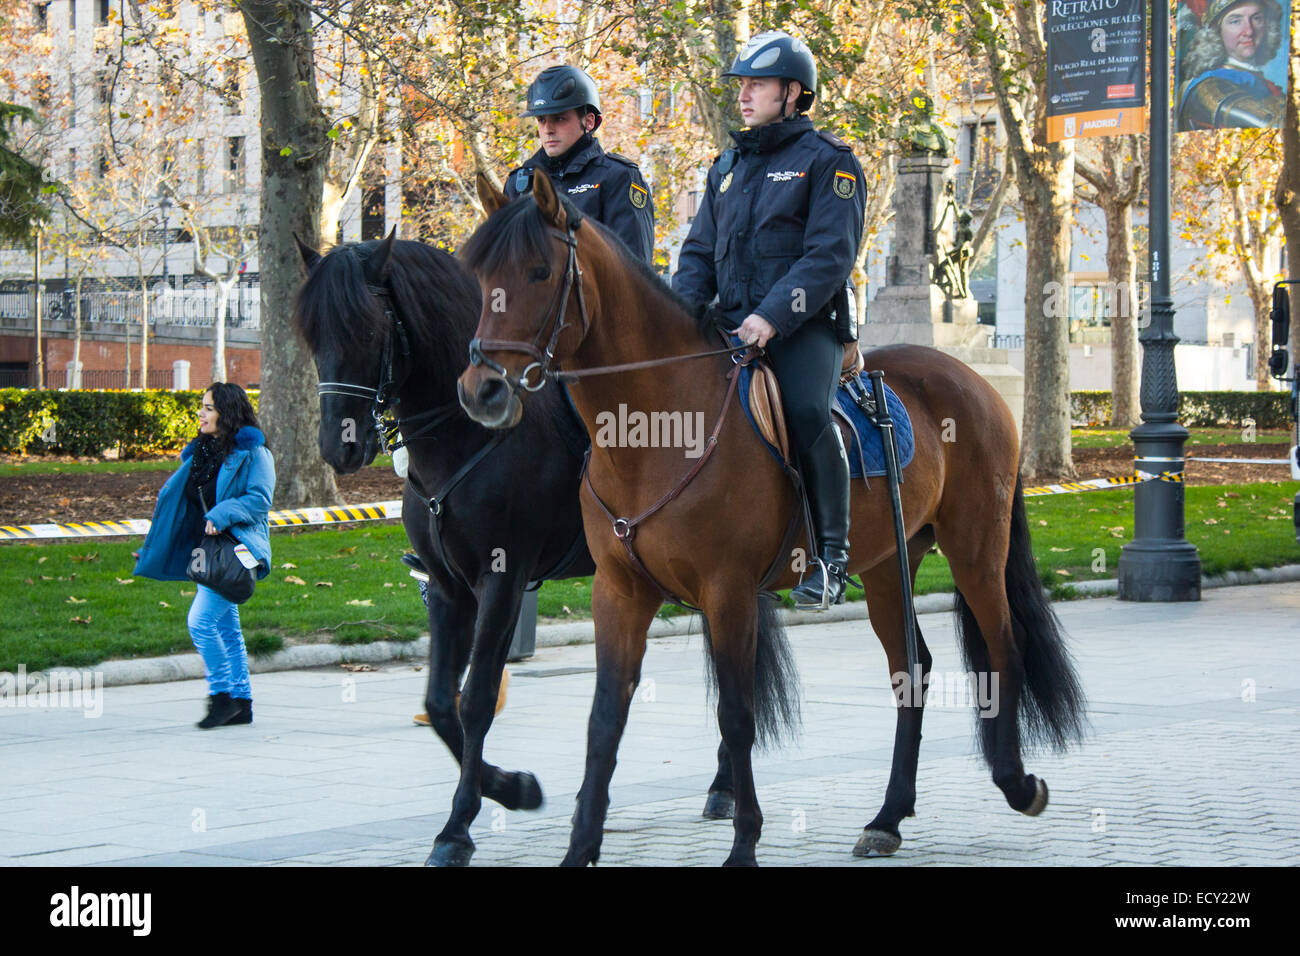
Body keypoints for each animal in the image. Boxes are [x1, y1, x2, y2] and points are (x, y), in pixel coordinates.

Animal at [292, 234, 595, 868]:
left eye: (367, 329)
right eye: (310, 333)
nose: (337, 446)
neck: (468, 435)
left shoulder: (502, 583)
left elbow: (475, 700)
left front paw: (457, 828)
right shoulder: (448, 589)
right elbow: (439, 703)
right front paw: (512, 787)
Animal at [457, 171, 1086, 868]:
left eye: (540, 272)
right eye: (479, 276)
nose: (481, 391)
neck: (657, 427)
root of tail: (977, 384)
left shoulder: (728, 591)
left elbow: (737, 715)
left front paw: (743, 843)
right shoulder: (619, 591)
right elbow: (605, 718)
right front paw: (578, 846)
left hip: (976, 549)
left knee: (1003, 648)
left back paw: (1016, 782)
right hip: (889, 565)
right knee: (912, 669)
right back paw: (888, 817)